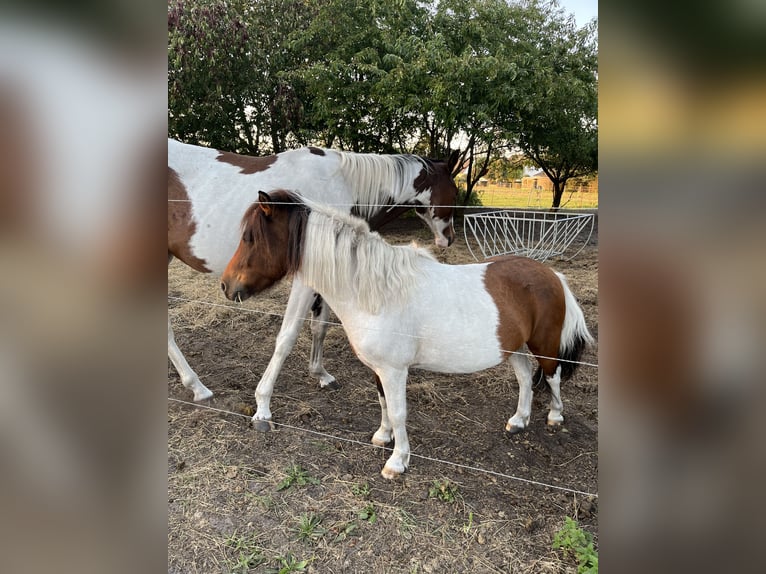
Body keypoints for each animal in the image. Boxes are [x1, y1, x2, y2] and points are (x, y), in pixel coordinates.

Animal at [168, 138, 460, 402]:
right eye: (455, 193)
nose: (449, 238)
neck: (342, 183)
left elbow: (319, 326)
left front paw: (320, 374)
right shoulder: (306, 279)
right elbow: (288, 335)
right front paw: (264, 399)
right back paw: (198, 387)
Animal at [220, 191, 592, 480]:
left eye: (250, 238)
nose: (226, 285)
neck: (375, 292)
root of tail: (552, 274)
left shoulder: (395, 370)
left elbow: (399, 411)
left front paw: (397, 461)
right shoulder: (378, 369)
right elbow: (384, 403)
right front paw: (382, 437)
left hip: (544, 345)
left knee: (553, 376)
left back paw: (555, 416)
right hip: (513, 347)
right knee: (526, 379)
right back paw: (518, 420)